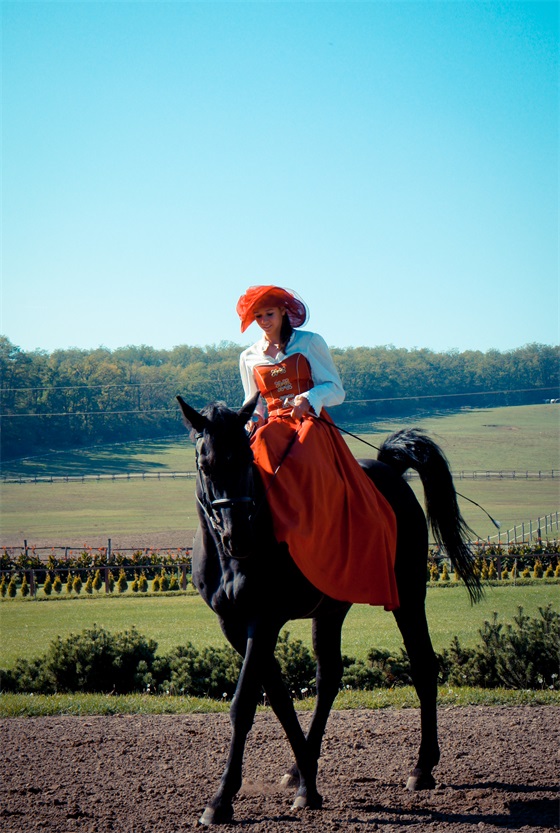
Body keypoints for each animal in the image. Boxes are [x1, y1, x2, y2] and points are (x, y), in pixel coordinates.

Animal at [176, 396, 482, 824]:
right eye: (206, 464)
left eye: (246, 459)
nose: (238, 536)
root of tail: (387, 470)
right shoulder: (234, 625)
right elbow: (280, 698)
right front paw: (306, 779)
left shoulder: (263, 622)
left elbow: (244, 704)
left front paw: (221, 800)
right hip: (331, 609)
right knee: (329, 678)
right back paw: (301, 767)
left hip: (407, 598)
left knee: (423, 665)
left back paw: (422, 768)